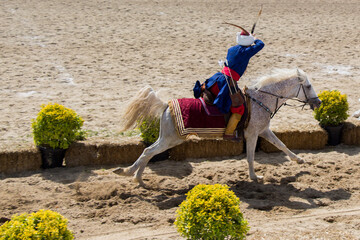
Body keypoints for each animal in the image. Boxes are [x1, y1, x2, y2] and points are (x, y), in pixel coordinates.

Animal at [114, 68, 322, 187]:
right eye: (308, 86)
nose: (318, 102)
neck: (260, 100)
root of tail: (166, 105)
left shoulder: (264, 131)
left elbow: (282, 145)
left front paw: (299, 160)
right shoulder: (253, 134)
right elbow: (251, 157)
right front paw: (255, 177)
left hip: (165, 138)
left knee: (148, 152)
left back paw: (138, 179)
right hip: (171, 139)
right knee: (148, 152)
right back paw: (129, 173)